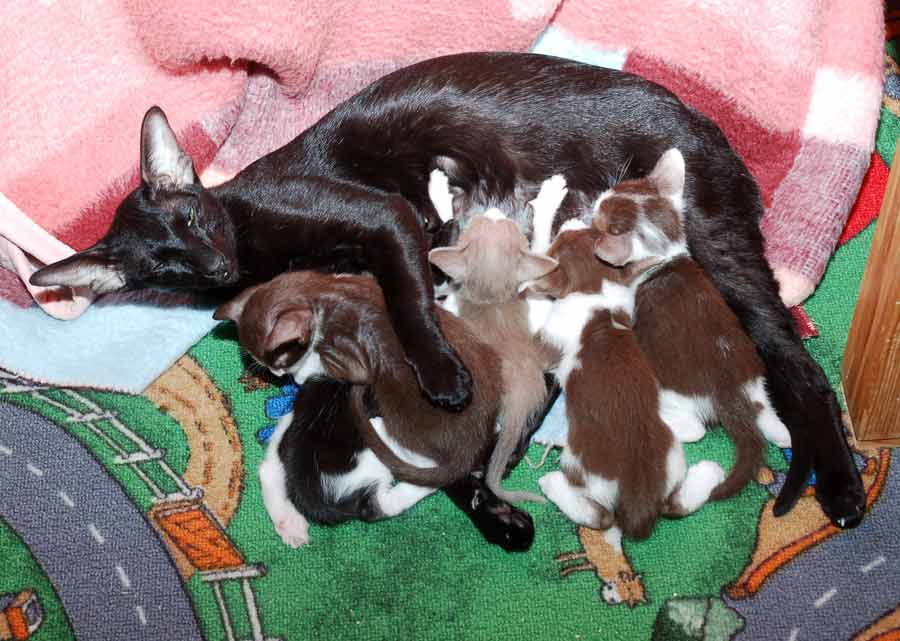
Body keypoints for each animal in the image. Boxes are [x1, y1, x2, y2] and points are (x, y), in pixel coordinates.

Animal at [596, 149, 792, 490]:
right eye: (615, 191)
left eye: (601, 216)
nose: (597, 199)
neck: (666, 257)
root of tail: (729, 394)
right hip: (755, 378)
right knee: (765, 412)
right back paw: (783, 434)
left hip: (673, 390)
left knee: (695, 428)